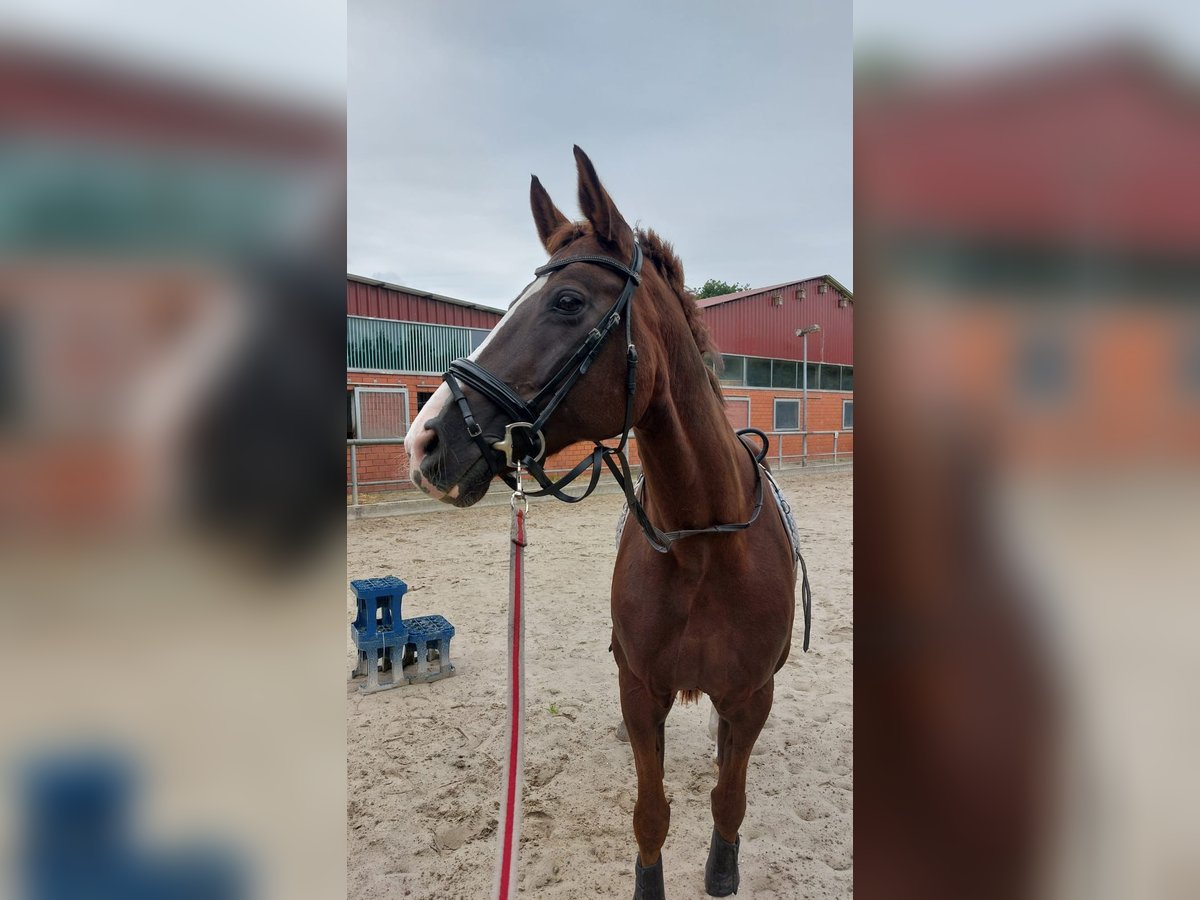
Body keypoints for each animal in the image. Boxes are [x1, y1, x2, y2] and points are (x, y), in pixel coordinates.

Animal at [403, 144, 806, 897]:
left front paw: (723, 866)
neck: (703, 545)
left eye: (567, 301)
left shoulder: (751, 696)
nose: (424, 442)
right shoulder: (641, 692)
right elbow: (650, 815)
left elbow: (728, 799)